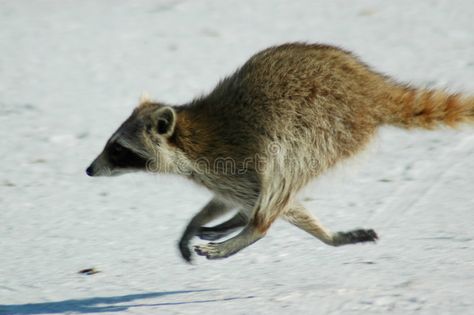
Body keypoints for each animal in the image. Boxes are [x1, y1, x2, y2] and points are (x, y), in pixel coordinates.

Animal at [86, 43, 474, 262]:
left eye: (117, 149)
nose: (89, 170)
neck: (189, 136)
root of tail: (371, 89)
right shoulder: (226, 177)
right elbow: (230, 199)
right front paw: (200, 221)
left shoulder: (233, 156)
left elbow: (276, 194)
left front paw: (247, 225)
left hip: (321, 129)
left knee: (283, 174)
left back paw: (252, 228)